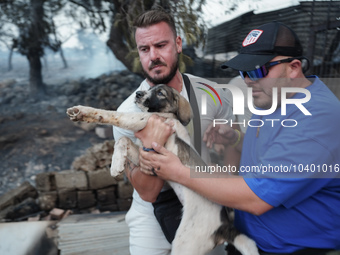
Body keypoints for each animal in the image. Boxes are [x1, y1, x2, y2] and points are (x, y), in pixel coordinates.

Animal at [66, 84, 258, 254]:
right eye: (149, 89)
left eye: (160, 93)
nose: (138, 94)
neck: (165, 115)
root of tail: (223, 226)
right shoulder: (142, 151)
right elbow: (123, 140)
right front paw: (117, 165)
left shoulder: (138, 120)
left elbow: (110, 114)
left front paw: (82, 111)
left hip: (184, 243)